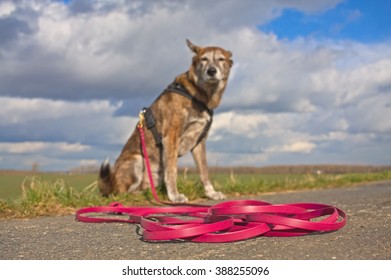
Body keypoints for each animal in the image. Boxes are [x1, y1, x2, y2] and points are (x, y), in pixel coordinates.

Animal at [99, 39, 233, 202]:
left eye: (221, 59)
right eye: (204, 59)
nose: (211, 71)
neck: (197, 94)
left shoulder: (199, 142)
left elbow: (204, 171)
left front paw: (211, 193)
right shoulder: (171, 137)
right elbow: (172, 171)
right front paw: (174, 196)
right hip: (137, 160)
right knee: (121, 193)